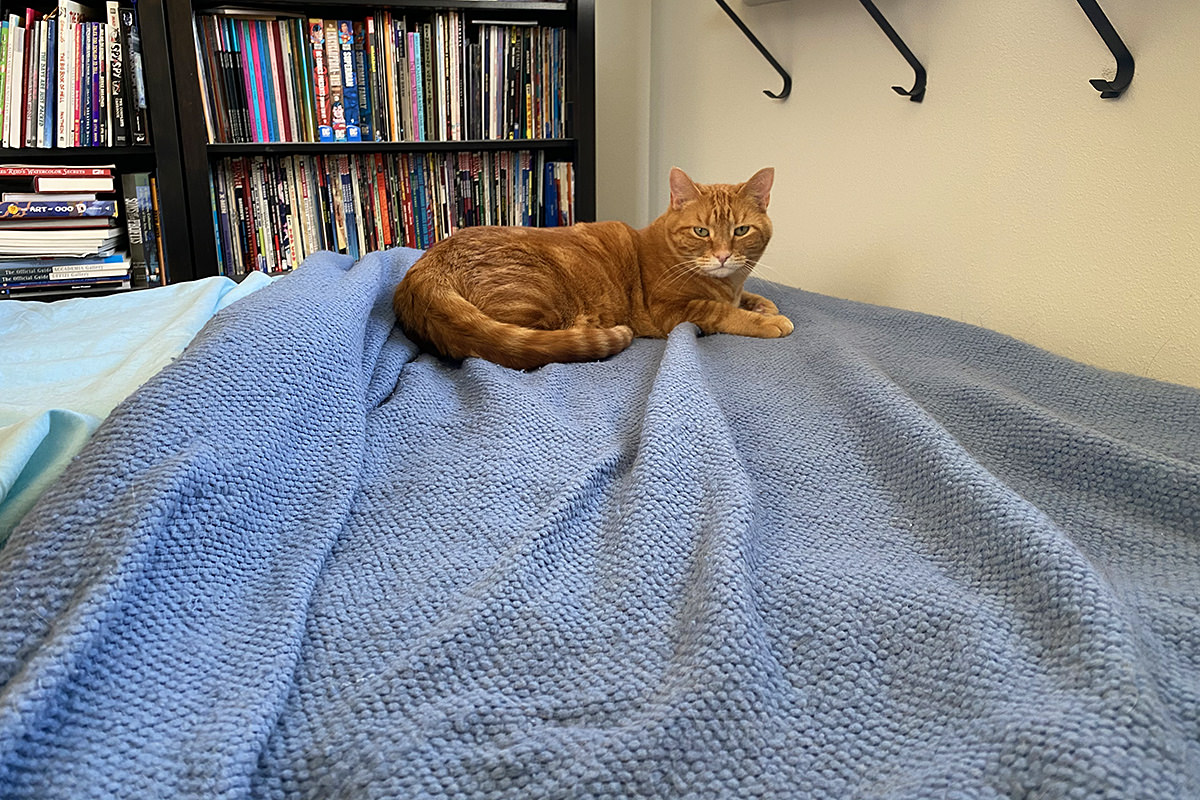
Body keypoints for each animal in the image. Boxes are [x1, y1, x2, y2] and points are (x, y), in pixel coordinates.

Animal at [388, 167, 792, 371]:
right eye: (701, 232)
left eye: (741, 231)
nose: (723, 256)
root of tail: (427, 265)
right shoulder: (673, 310)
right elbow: (722, 311)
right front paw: (767, 320)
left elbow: (748, 298)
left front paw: (763, 304)